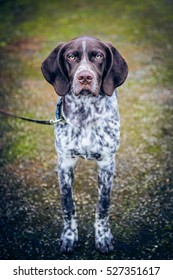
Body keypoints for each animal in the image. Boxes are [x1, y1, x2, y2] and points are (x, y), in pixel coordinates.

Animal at [41, 35, 127, 254]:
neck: (85, 114)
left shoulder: (106, 163)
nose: (85, 78)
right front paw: (69, 236)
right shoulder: (65, 163)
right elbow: (67, 204)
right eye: (71, 56)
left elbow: (103, 205)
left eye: (98, 56)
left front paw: (103, 237)